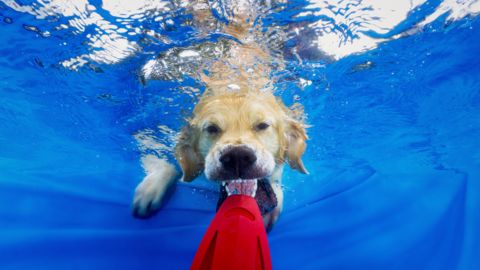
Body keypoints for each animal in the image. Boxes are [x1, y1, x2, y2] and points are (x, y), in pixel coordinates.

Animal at [130, 0, 308, 230]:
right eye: (211, 129)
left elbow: (275, 175)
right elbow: (166, 159)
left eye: (262, 126)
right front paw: (152, 188)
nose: (238, 156)